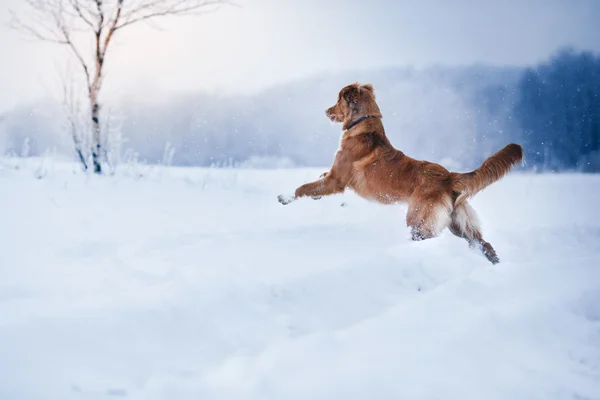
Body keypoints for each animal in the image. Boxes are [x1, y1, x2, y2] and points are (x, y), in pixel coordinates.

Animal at [278, 83, 524, 264]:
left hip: (419, 220)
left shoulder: (337, 179)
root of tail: (449, 176)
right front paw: (315, 196)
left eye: (338, 100)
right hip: (460, 224)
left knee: (426, 240)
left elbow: (303, 187)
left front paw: (286, 197)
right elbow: (317, 182)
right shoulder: (332, 177)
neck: (363, 124)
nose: (326, 110)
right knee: (485, 246)